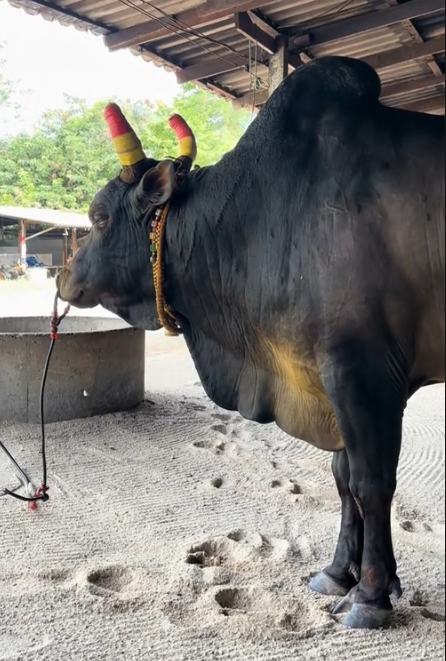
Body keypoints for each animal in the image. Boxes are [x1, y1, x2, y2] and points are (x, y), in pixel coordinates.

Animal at [57, 56, 445, 630]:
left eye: (99, 216)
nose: (63, 276)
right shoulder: (329, 382)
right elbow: (342, 476)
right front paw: (340, 574)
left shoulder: (361, 372)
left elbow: (371, 483)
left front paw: (371, 596)